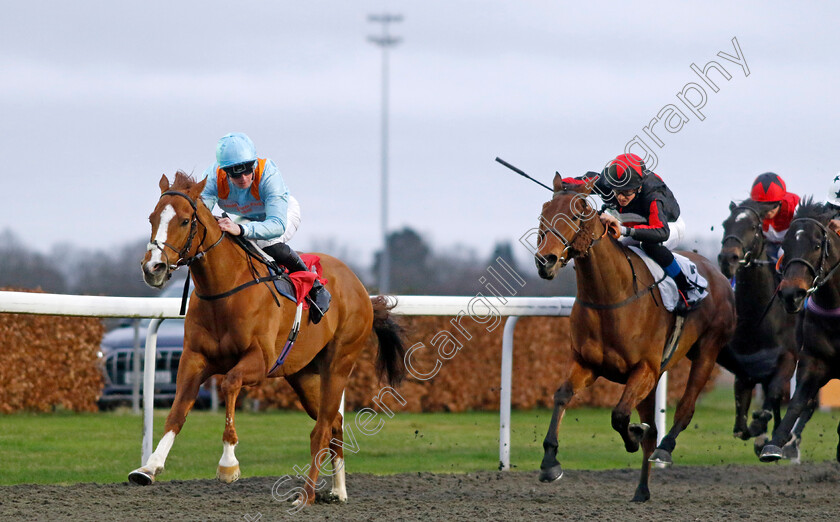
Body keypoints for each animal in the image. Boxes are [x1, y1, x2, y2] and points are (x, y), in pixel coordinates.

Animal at [128, 173, 406, 506]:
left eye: (184, 220)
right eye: (152, 217)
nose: (152, 267)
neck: (224, 292)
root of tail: (360, 287)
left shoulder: (259, 362)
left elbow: (229, 383)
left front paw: (228, 463)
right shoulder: (194, 359)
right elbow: (177, 410)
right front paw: (149, 466)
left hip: (338, 364)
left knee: (322, 428)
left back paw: (306, 495)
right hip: (304, 375)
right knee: (334, 423)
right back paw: (338, 490)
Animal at [540, 175, 736, 500]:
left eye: (576, 215)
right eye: (543, 211)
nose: (545, 260)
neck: (609, 298)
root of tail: (719, 275)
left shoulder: (644, 369)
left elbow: (620, 415)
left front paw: (633, 435)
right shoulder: (587, 364)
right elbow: (562, 396)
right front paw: (549, 462)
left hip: (707, 350)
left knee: (685, 409)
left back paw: (664, 450)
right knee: (653, 429)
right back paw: (642, 490)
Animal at [720, 199, 796, 450]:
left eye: (753, 226)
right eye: (726, 224)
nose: (728, 259)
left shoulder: (789, 357)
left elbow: (774, 393)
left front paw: (763, 429)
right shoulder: (745, 368)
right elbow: (740, 426)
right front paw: (758, 432)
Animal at [760, 197, 840, 462]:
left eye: (816, 245)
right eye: (785, 246)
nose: (791, 294)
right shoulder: (814, 360)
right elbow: (798, 401)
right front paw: (775, 444)